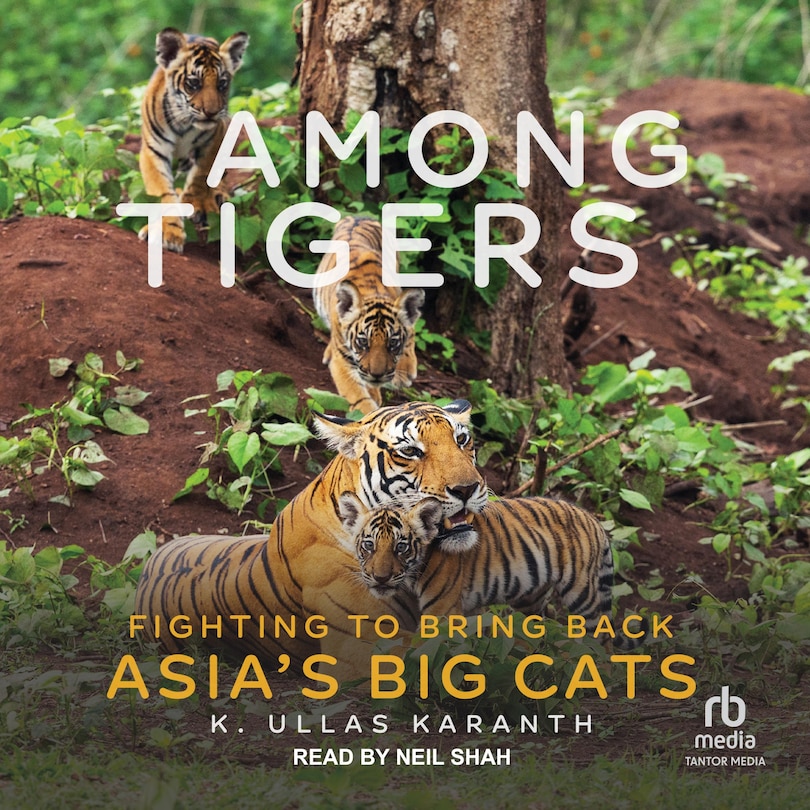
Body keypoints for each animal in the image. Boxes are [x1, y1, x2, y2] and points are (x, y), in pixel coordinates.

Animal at [138, 27, 249, 253]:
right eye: (193, 83)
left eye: (222, 84)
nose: (212, 112)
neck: (184, 122)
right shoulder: (153, 151)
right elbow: (162, 190)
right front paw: (169, 231)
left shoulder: (214, 139)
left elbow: (201, 175)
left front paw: (194, 203)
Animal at [313, 216, 425, 414]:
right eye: (363, 341)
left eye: (393, 343)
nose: (377, 375)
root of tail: (359, 217)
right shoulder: (342, 361)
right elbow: (358, 396)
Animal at [338, 493, 648, 651]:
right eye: (369, 545)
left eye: (401, 547)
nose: (380, 578)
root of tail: (592, 519)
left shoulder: (441, 612)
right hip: (530, 597)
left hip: (581, 592)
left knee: (602, 635)